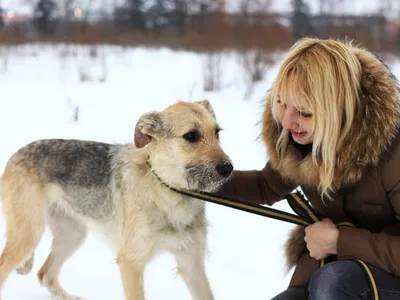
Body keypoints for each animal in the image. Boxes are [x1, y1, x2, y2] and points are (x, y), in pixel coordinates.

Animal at [0, 99, 233, 298]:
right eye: (191, 136)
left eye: (217, 133)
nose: (228, 168)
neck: (167, 190)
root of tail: (15, 155)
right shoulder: (131, 262)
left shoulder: (191, 264)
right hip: (28, 235)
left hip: (73, 234)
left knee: (45, 274)